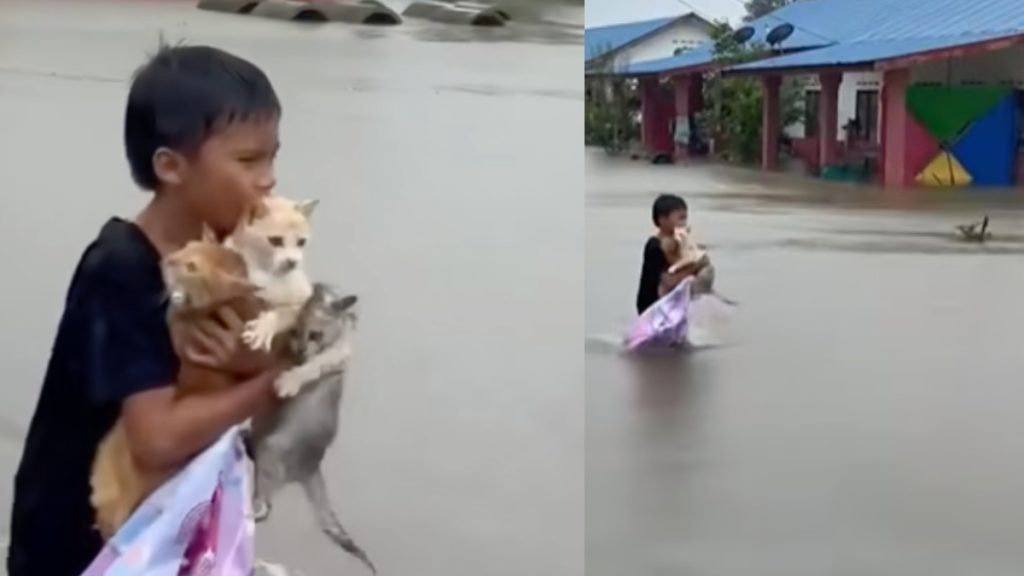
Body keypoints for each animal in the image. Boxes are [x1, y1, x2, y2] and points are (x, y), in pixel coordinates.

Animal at [243, 282, 376, 569]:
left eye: (315, 334)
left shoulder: (336, 355)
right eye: (295, 332)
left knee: (265, 507)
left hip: (271, 451)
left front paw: (287, 382)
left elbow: (316, 364)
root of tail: (312, 467)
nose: (301, 350)